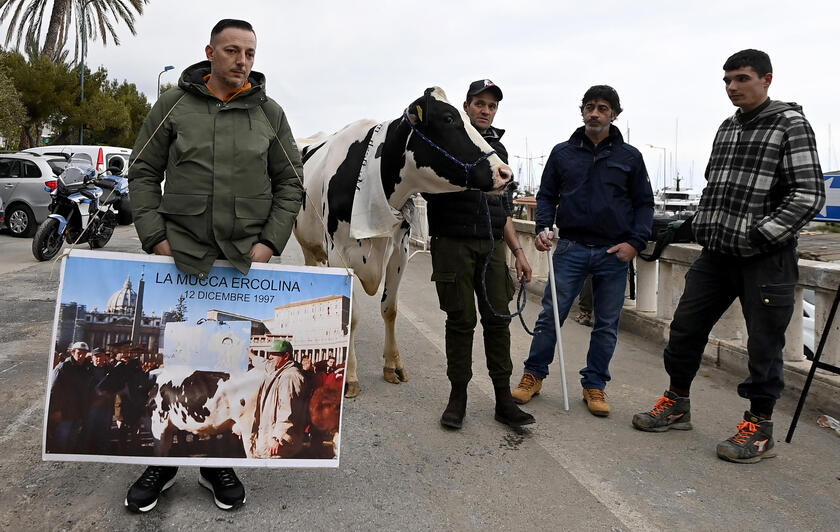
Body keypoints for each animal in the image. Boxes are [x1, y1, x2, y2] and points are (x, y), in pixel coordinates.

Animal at [292, 87, 512, 396]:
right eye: (448, 118)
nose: (506, 173)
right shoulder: (340, 254)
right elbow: (353, 316)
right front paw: (350, 377)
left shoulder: (400, 251)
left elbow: (390, 309)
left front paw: (392, 365)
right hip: (308, 244)